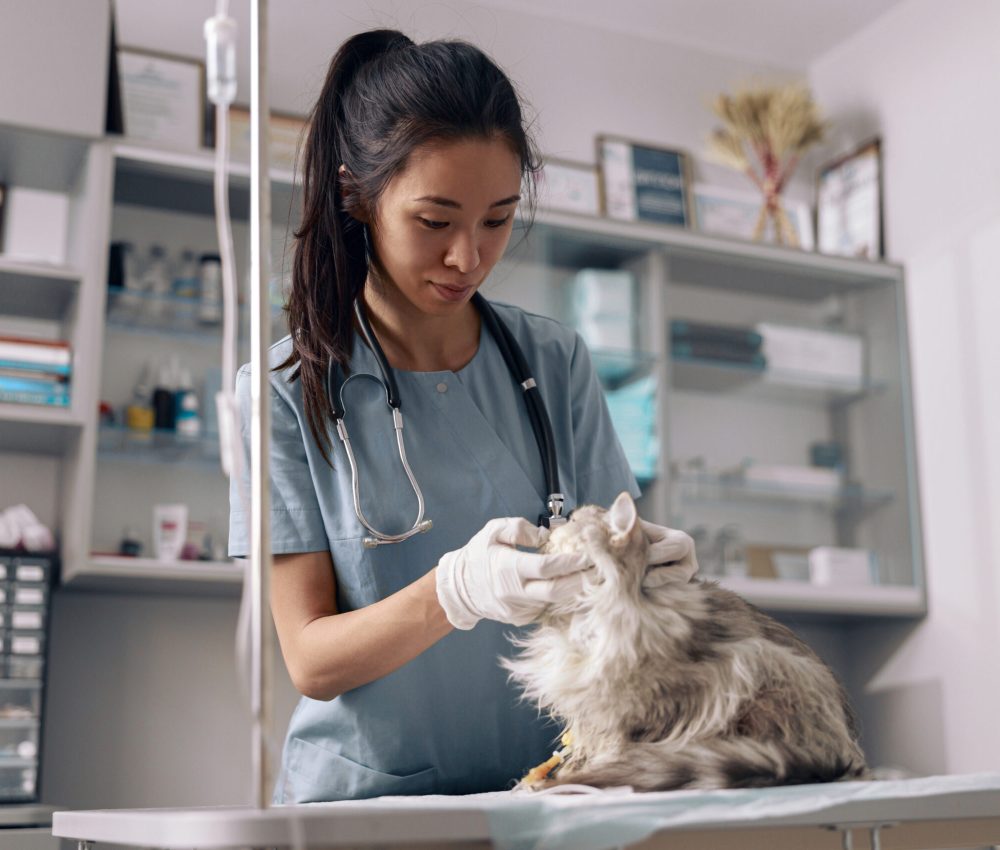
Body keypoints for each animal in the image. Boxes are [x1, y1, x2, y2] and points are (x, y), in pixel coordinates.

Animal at [504, 490, 872, 788]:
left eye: (573, 520)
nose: (550, 524)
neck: (583, 616)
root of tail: (843, 756)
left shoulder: (643, 700)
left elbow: (614, 742)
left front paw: (590, 771)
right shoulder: (591, 701)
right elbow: (584, 740)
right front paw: (557, 773)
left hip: (765, 665)